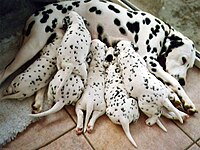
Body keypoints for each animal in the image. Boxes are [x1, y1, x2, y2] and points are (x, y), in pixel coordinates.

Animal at [0, 0, 196, 113]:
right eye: (183, 60)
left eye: (190, 66)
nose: (185, 80)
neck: (162, 31)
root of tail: (35, 14)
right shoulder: (148, 61)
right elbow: (173, 81)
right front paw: (183, 98)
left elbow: (169, 82)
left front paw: (177, 98)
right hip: (31, 47)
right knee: (5, 71)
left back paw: (38, 101)